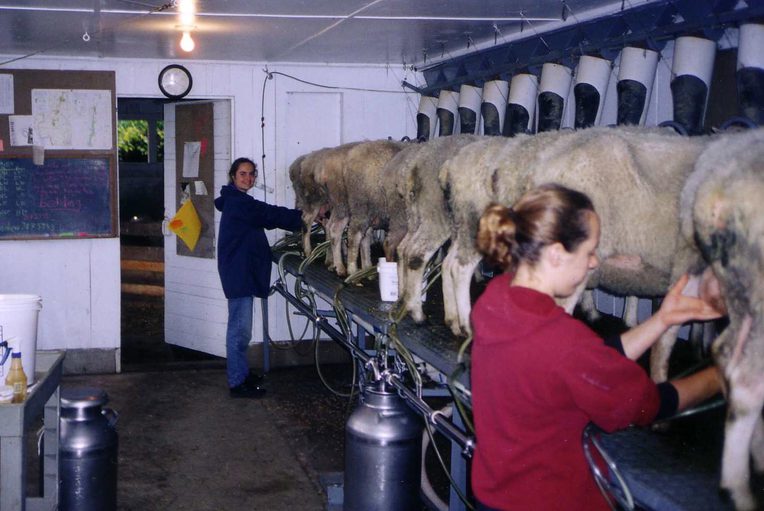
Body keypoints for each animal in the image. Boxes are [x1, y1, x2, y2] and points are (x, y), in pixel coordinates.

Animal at [394, 134, 482, 322]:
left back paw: (404, 298)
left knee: (403, 248)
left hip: (415, 215)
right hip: (436, 215)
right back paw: (417, 313)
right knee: (416, 253)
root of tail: (414, 164)